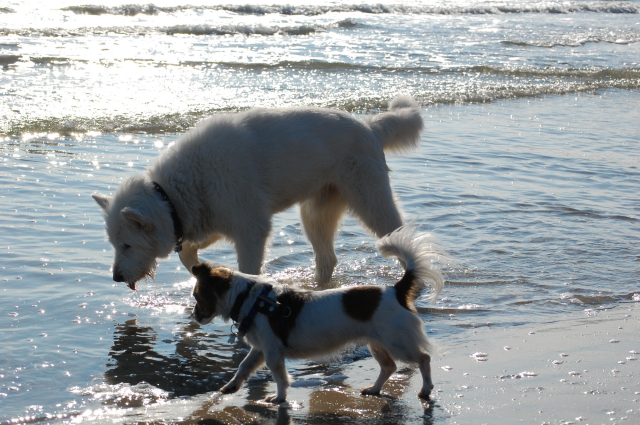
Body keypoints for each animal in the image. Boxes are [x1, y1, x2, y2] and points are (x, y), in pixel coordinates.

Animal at [94, 96, 424, 288]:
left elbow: (247, 270)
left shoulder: (251, 230)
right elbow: (188, 255)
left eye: (126, 245)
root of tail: (369, 126)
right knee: (328, 259)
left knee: (399, 236)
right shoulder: (210, 224)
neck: (174, 194)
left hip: (372, 205)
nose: (115, 277)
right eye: (114, 245)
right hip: (315, 215)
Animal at [190, 225, 444, 400]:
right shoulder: (261, 349)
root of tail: (396, 290)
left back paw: (425, 389)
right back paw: (374, 389)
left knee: (423, 358)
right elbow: (243, 366)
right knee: (389, 367)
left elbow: (280, 377)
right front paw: (231, 386)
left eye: (196, 296)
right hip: (377, 343)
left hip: (397, 342)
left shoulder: (272, 352)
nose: (194, 315)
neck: (250, 300)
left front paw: (279, 398)